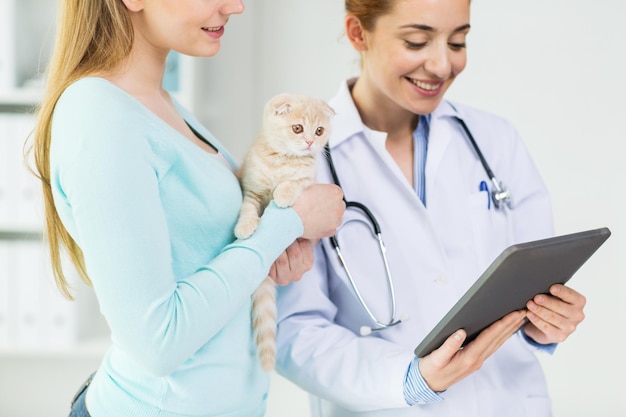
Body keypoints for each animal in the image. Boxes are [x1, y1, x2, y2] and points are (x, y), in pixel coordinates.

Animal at [234, 92, 334, 370]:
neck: (282, 160)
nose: (310, 142)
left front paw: (283, 194)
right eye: (297, 128)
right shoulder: (251, 188)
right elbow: (248, 208)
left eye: (319, 131)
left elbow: (295, 181)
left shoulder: (308, 179)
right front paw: (244, 227)